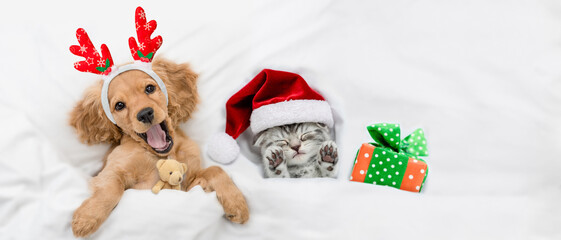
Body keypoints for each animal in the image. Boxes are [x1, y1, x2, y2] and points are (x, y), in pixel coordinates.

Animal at [69, 57, 247, 236]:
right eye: (119, 105)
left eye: (150, 88)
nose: (145, 114)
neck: (163, 156)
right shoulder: (112, 170)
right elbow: (111, 188)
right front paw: (87, 218)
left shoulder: (188, 184)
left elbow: (215, 169)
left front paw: (237, 203)